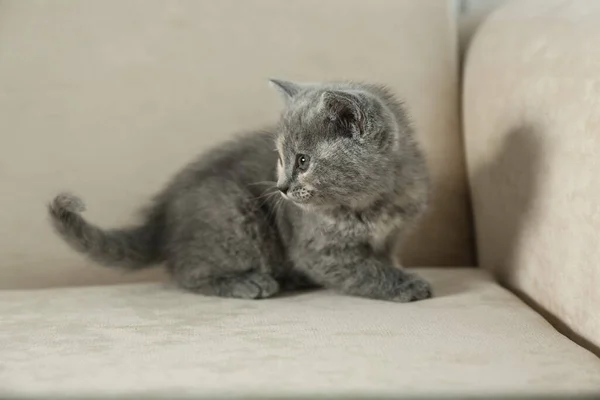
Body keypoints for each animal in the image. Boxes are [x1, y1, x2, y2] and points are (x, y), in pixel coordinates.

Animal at [47, 79, 432, 302]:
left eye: (303, 161)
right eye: (280, 159)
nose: (281, 187)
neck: (374, 202)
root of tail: (161, 216)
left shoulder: (392, 235)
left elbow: (380, 258)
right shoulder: (318, 249)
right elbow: (363, 269)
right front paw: (404, 284)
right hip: (234, 215)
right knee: (187, 271)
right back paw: (247, 283)